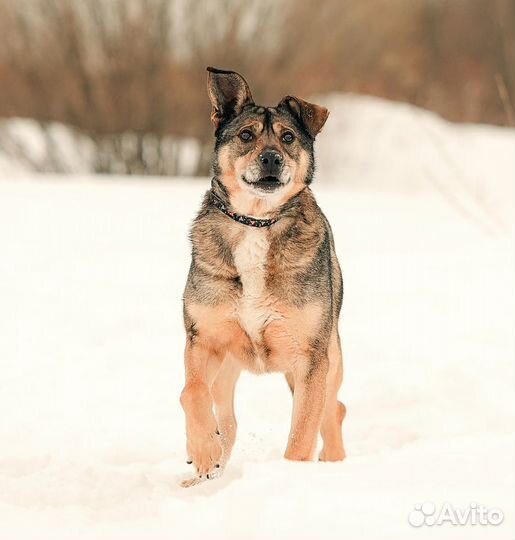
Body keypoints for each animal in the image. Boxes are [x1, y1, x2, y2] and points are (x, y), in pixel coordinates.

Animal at [180, 65, 346, 488]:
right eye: (246, 135)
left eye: (288, 138)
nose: (271, 159)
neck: (256, 221)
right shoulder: (203, 340)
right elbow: (190, 393)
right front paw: (202, 452)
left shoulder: (311, 358)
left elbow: (302, 434)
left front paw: (291, 476)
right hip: (227, 371)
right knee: (227, 421)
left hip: (328, 362)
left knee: (333, 410)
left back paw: (336, 465)